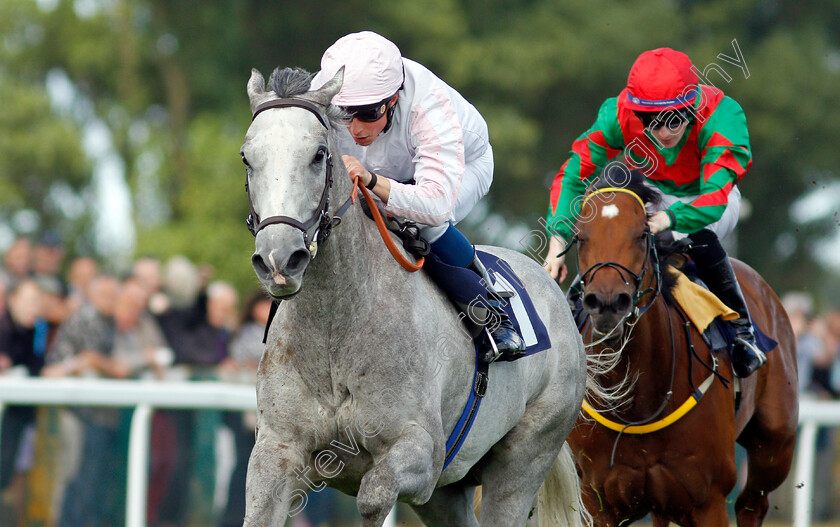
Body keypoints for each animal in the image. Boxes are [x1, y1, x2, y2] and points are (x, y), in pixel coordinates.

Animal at [236, 67, 592, 527]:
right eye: (247, 157)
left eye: (318, 154)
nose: (279, 258)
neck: (335, 331)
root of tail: (555, 292)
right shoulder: (275, 454)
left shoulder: (422, 452)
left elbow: (374, 496)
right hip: (448, 491)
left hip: (525, 456)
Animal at [568, 170, 796, 527]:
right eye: (580, 237)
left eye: (642, 234)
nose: (607, 303)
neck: (639, 403)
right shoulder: (600, 501)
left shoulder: (709, 499)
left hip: (775, 445)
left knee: (751, 503)